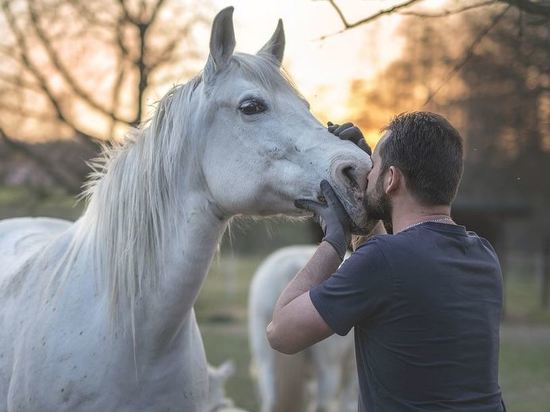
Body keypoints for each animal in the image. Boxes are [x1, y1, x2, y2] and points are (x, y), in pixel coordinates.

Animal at [249, 246, 358, 412]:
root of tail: (291, 267)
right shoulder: (352, 373)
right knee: (323, 404)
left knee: (271, 399)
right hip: (329, 369)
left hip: (266, 363)